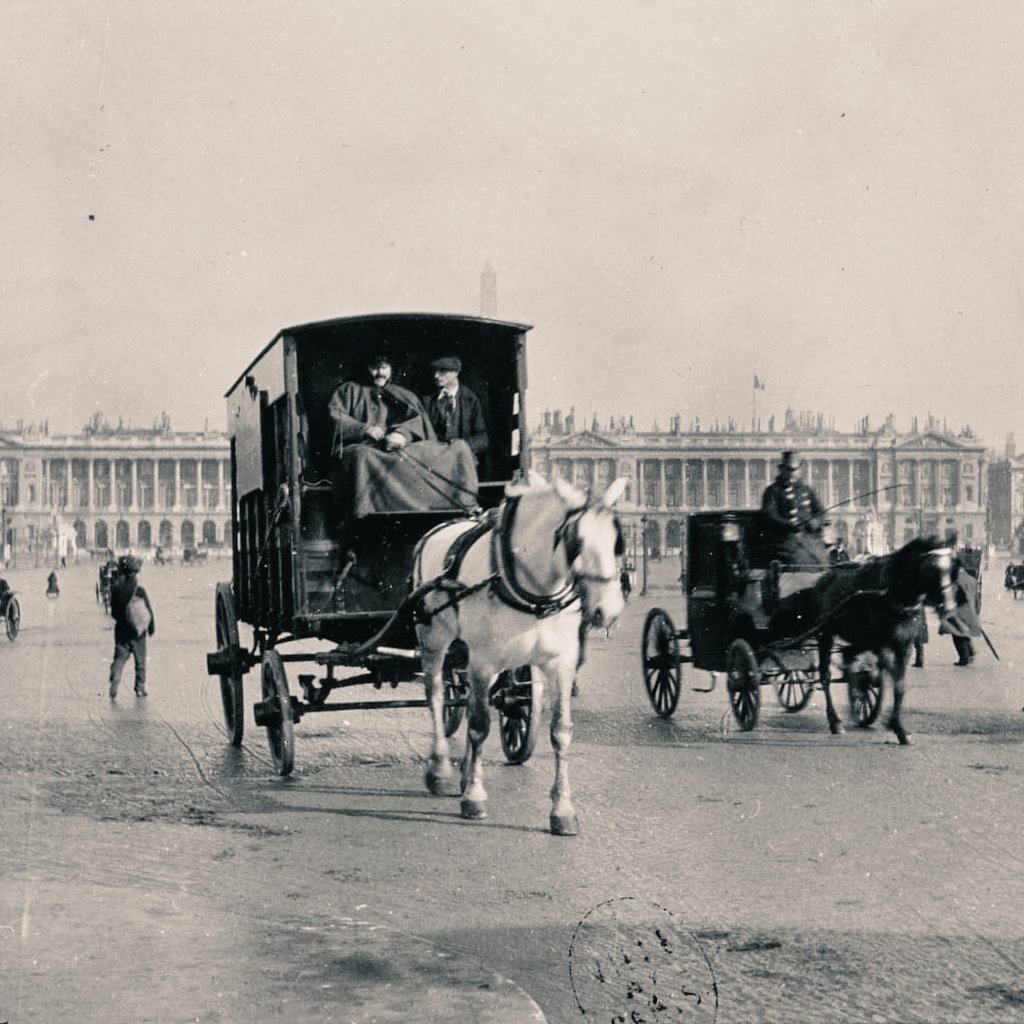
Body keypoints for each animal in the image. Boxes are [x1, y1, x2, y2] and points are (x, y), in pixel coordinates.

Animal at [407, 468, 622, 831]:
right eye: (576, 542)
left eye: (618, 541)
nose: (608, 611)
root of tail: (436, 529)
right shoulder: (483, 662)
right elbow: (480, 725)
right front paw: (474, 796)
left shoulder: (560, 664)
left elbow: (560, 731)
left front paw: (562, 809)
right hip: (435, 638)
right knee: (437, 696)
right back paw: (441, 770)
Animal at [770, 536, 958, 745]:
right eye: (932, 569)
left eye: (952, 568)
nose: (949, 608)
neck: (892, 594)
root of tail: (821, 580)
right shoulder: (883, 646)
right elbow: (894, 680)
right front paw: (893, 724)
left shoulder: (904, 647)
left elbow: (898, 684)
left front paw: (898, 728)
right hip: (825, 635)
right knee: (825, 675)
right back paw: (835, 721)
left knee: (851, 664)